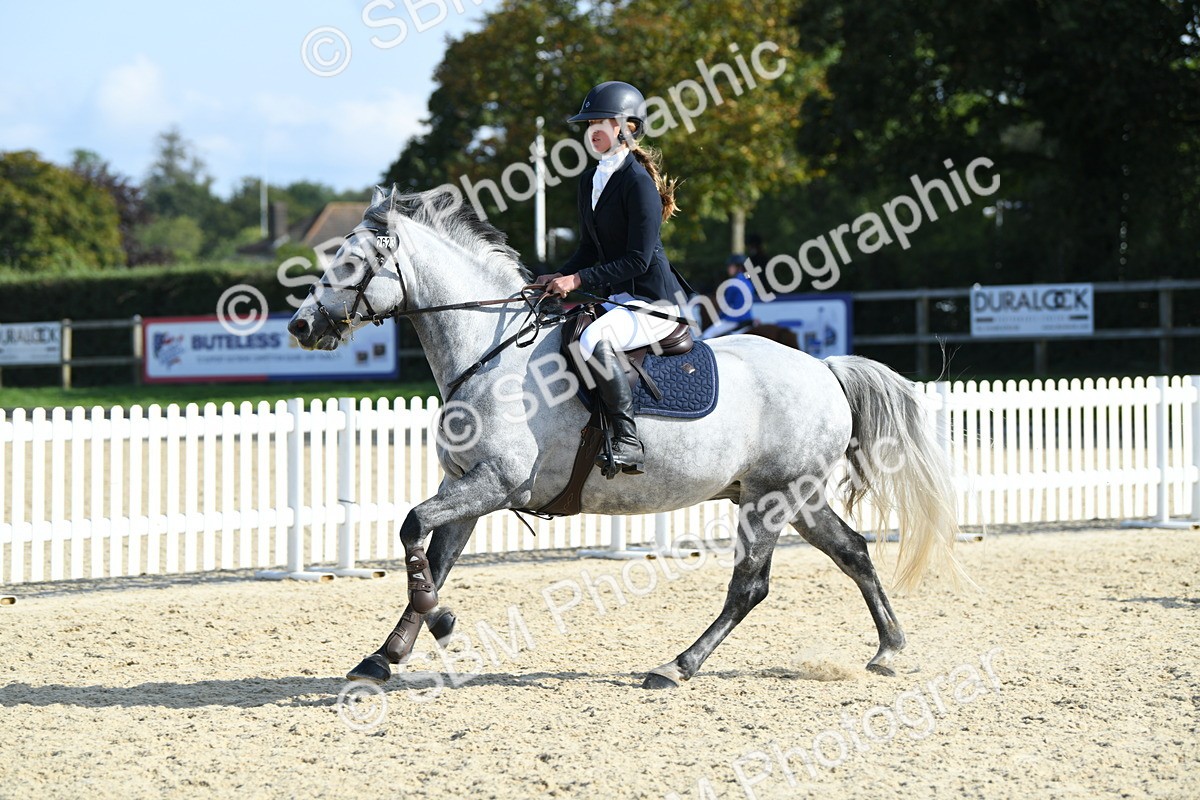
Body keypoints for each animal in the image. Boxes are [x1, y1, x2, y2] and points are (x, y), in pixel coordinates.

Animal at [287, 186, 968, 690]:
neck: (490, 352)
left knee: (750, 585)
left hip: (771, 498)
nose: (300, 326)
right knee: (852, 552)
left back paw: (677, 666)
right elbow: (433, 556)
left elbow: (411, 529)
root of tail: (824, 368)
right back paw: (889, 648)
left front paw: (443, 624)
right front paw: (387, 654)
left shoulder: (494, 484)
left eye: (350, 265)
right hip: (791, 495)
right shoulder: (468, 488)